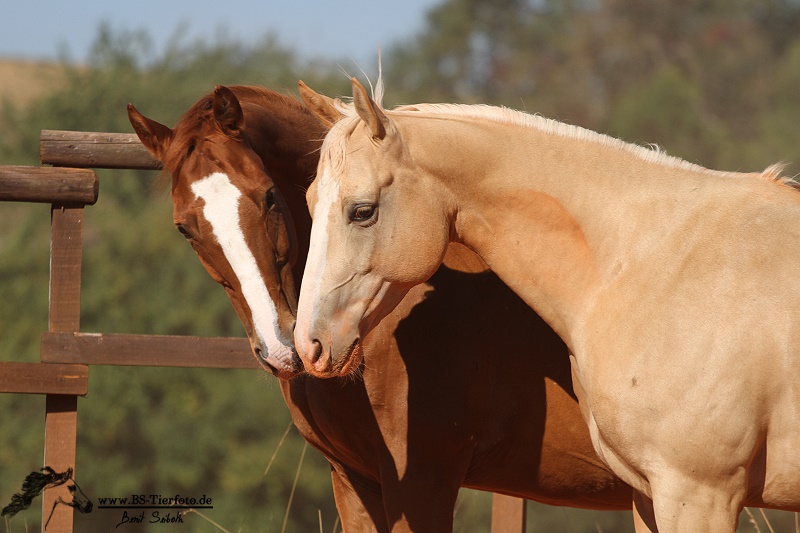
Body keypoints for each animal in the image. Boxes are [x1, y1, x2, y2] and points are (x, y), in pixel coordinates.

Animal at [294, 80, 800, 532]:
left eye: (362, 211)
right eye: (309, 202)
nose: (308, 345)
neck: (649, 258)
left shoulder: (697, 495)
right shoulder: (649, 496)